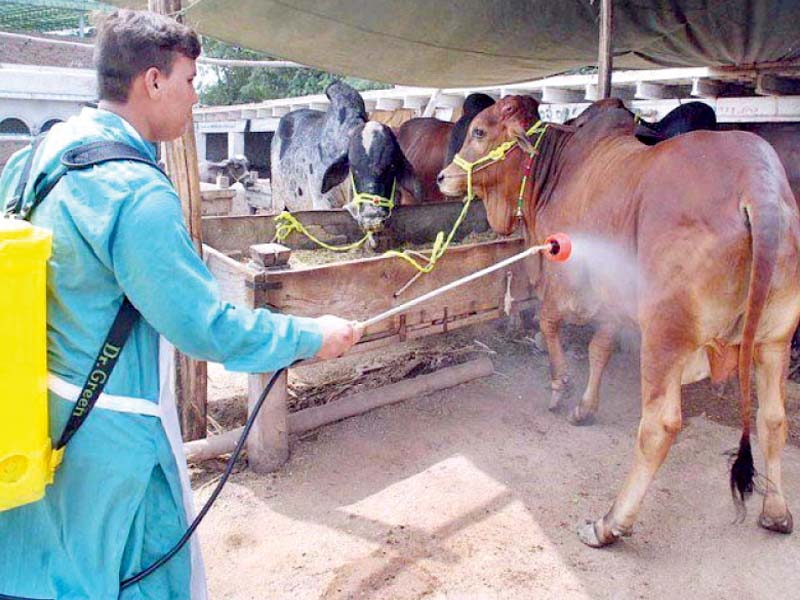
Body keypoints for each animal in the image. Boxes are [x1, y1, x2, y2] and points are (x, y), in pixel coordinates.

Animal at [438, 95, 800, 548]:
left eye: (479, 131)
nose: (443, 177)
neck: (559, 165)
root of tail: (758, 186)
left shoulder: (564, 271)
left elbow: (550, 325)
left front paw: (560, 388)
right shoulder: (612, 293)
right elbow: (600, 347)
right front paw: (585, 407)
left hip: (665, 335)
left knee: (659, 426)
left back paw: (609, 524)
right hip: (775, 338)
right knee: (773, 419)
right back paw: (776, 512)